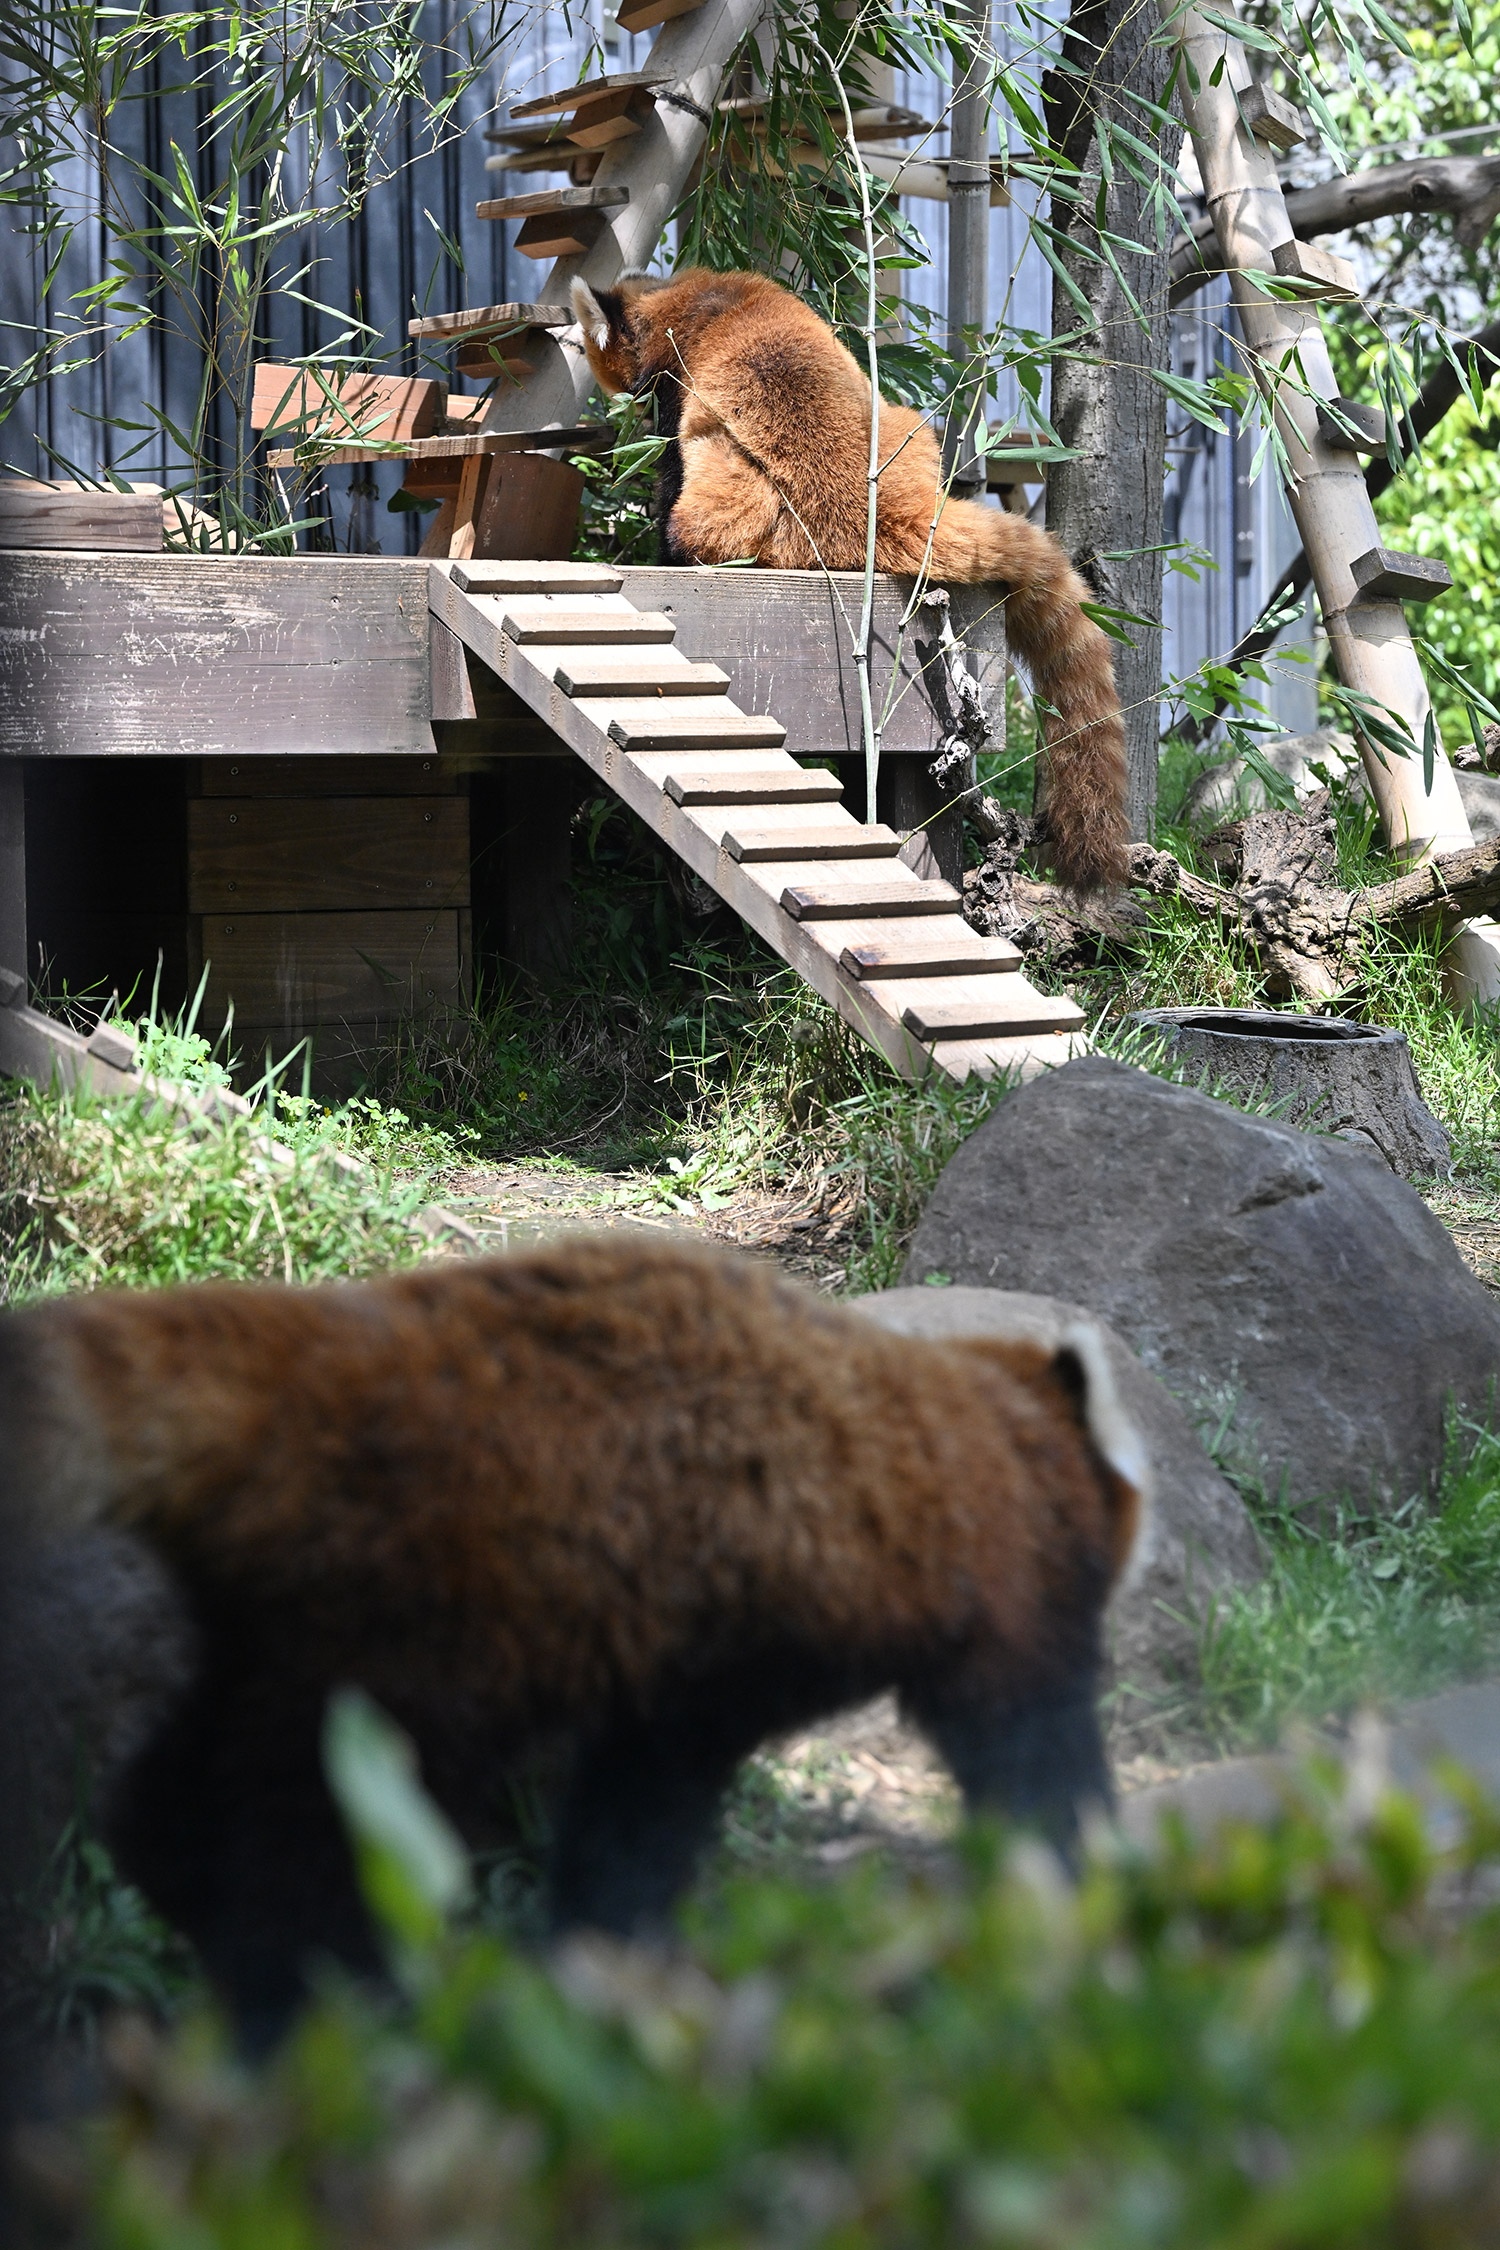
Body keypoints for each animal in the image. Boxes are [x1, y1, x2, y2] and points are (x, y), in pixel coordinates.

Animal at [0, 1236, 1149, 2047]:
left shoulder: (688, 1679)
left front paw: (598, 1952)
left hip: (291, 1626)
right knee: (325, 1829)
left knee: (185, 1784)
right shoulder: (1003, 1578)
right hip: (419, 1627)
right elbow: (1031, 1751)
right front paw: (1094, 1882)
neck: (1007, 1414)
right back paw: (314, 1999)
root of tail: (332, 1356)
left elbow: (632, 1808)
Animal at [570, 266, 1131, 895]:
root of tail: (884, 508)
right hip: (905, 429)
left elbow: (669, 462)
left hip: (754, 497)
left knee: (704, 497)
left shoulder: (678, 380)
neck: (679, 299)